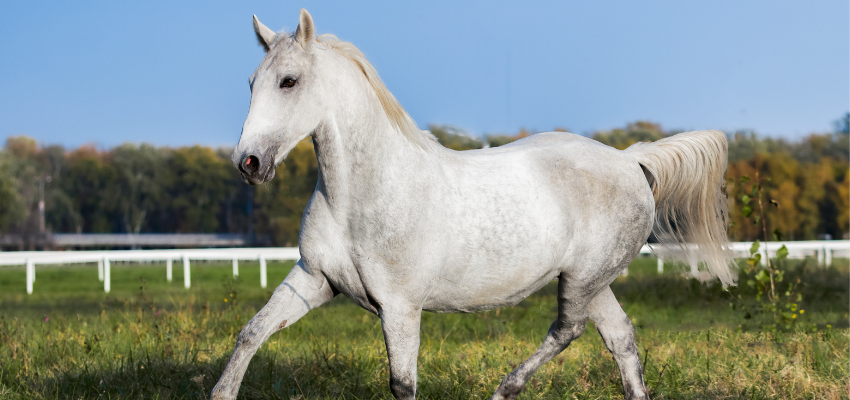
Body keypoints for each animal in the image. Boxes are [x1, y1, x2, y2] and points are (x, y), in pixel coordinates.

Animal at [209, 9, 732, 400]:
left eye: (289, 81)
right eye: (252, 81)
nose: (248, 162)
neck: (360, 199)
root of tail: (629, 160)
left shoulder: (400, 307)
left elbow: (402, 384)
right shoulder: (313, 280)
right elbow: (252, 332)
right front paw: (222, 392)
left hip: (584, 279)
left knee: (568, 329)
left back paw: (504, 388)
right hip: (592, 282)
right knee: (618, 338)